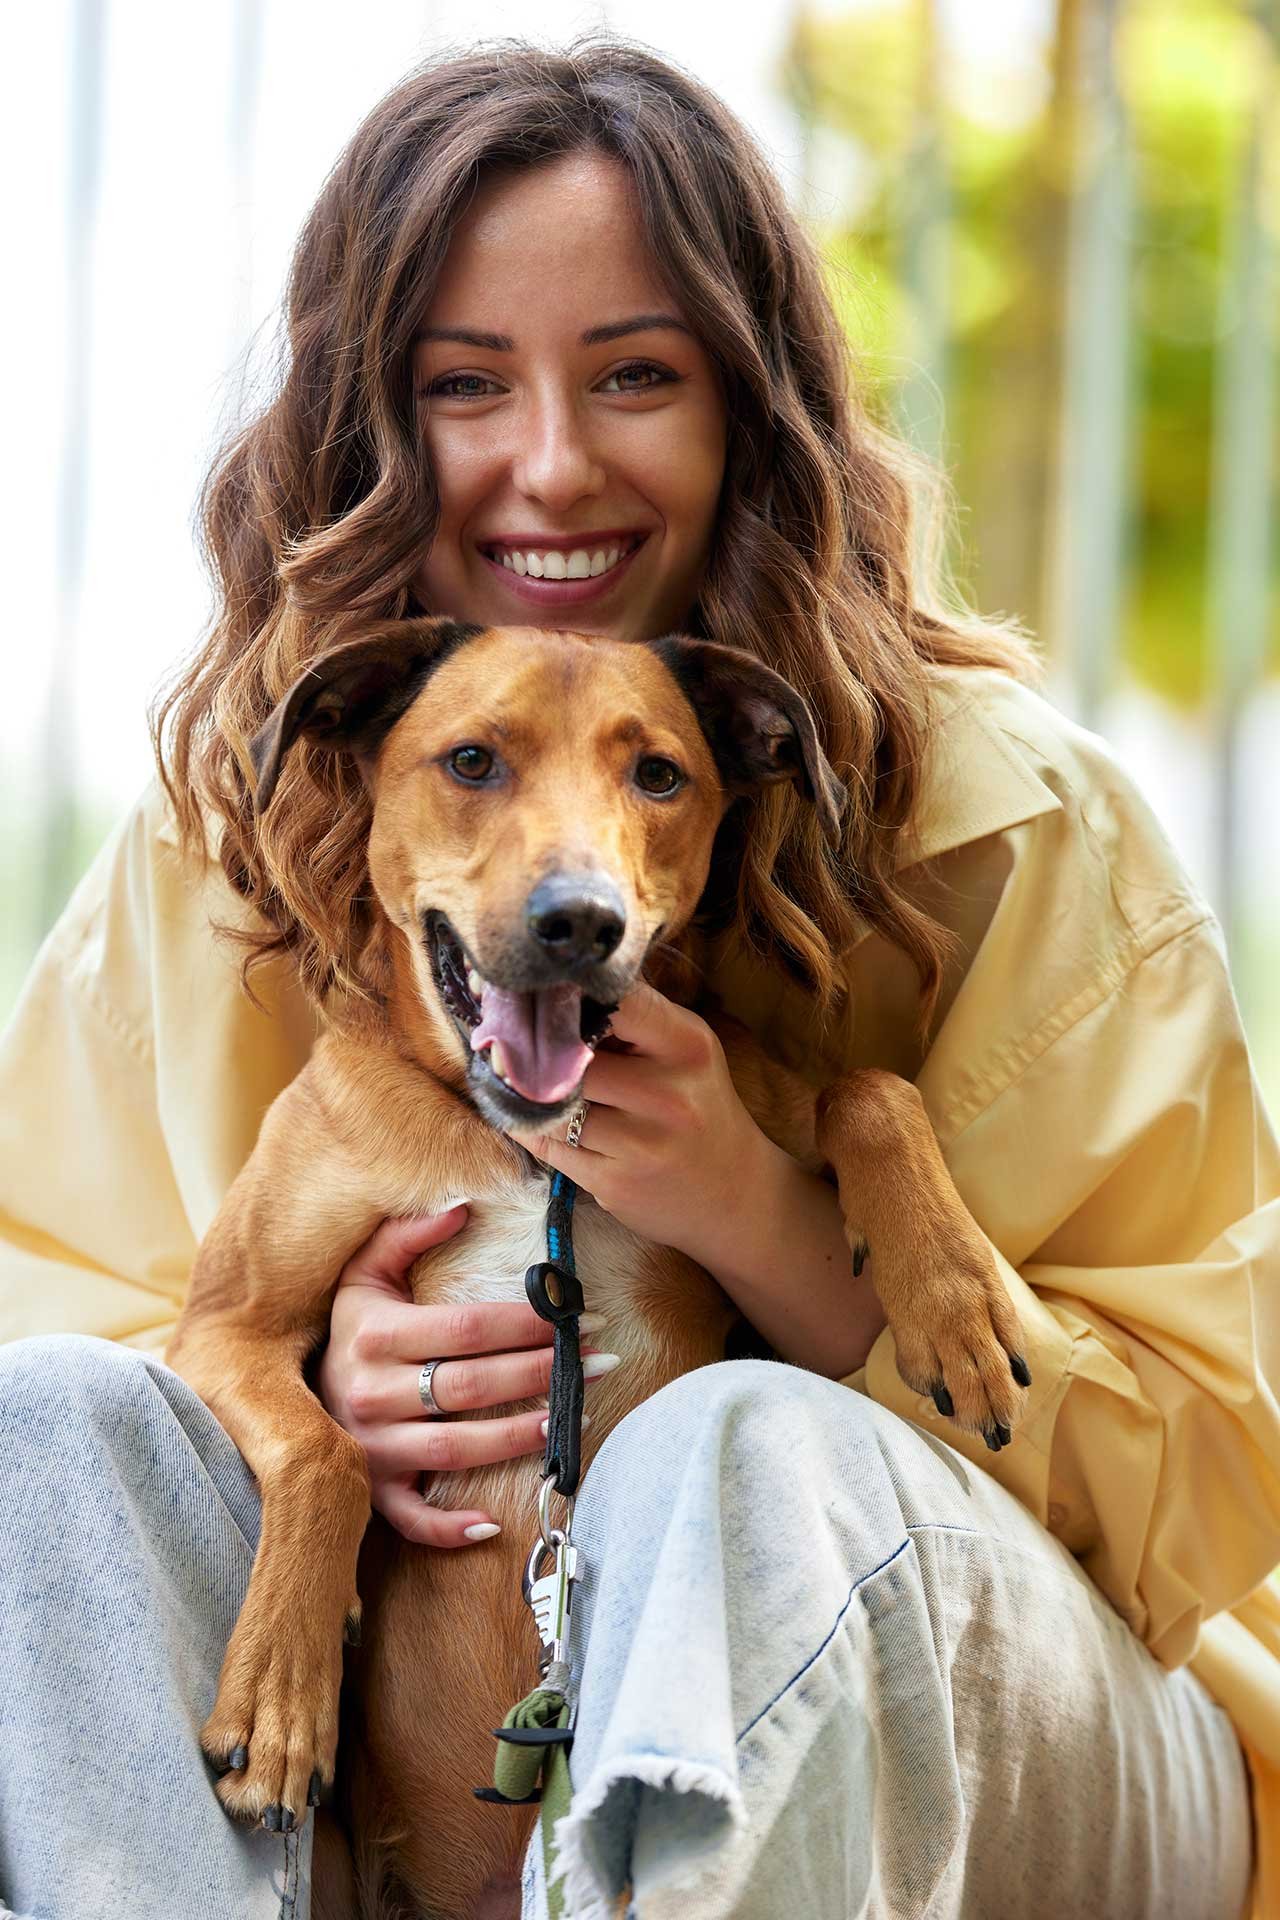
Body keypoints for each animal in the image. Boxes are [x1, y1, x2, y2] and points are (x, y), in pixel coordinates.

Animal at [166, 617, 1028, 1918]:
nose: (580, 920)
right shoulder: (223, 1326)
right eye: (471, 760)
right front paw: (278, 1697)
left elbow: (870, 1089)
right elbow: (327, 1450)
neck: (530, 1147)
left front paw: (952, 1302)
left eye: (658, 775)